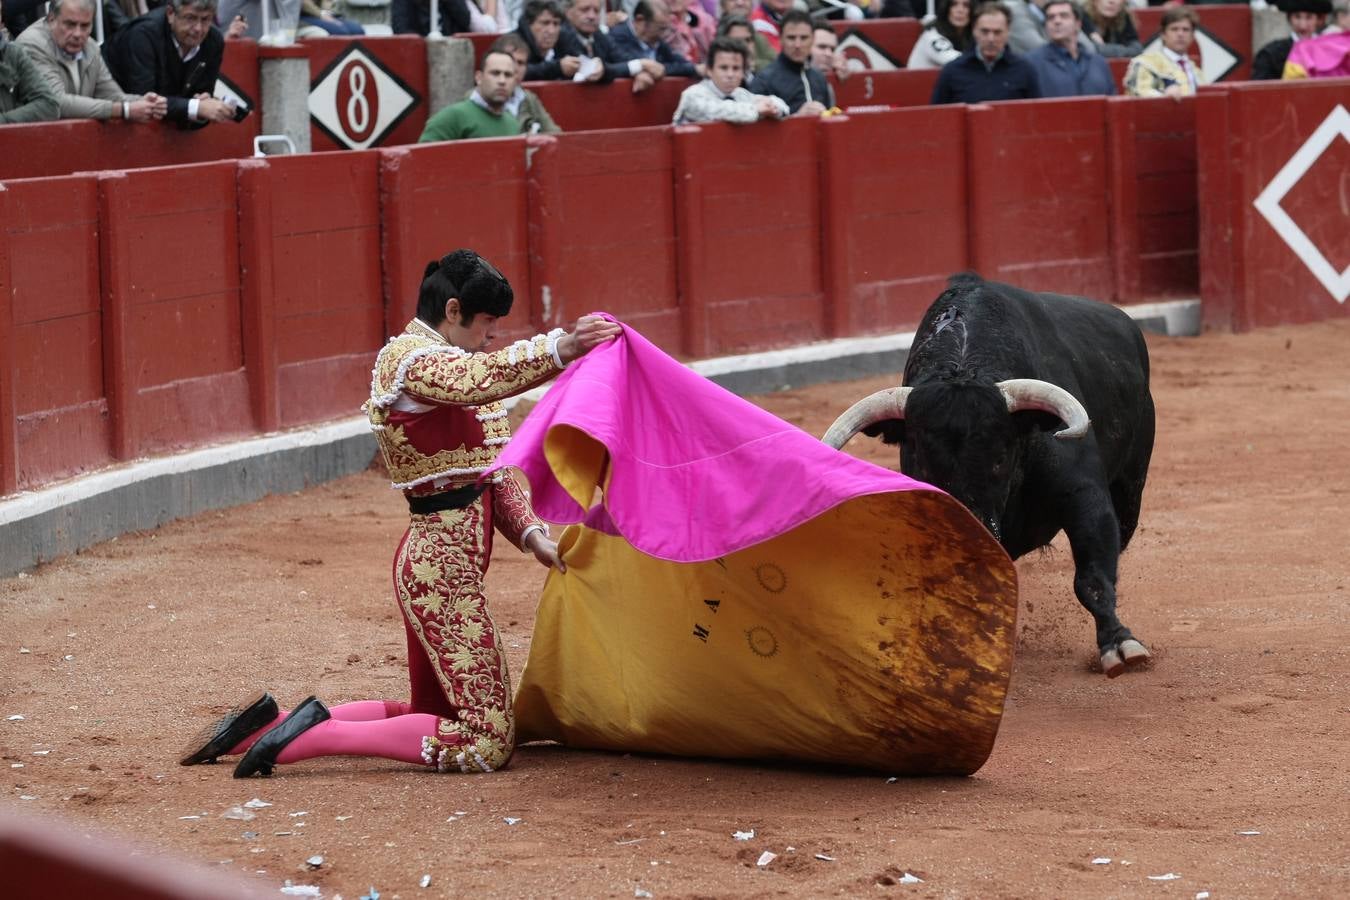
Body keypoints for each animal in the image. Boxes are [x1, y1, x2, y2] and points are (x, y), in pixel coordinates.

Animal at [820, 275, 1161, 674]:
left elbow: (1092, 577)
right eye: (924, 464)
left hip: (1130, 490)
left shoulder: (1084, 496)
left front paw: (1120, 644)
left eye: (1000, 459)